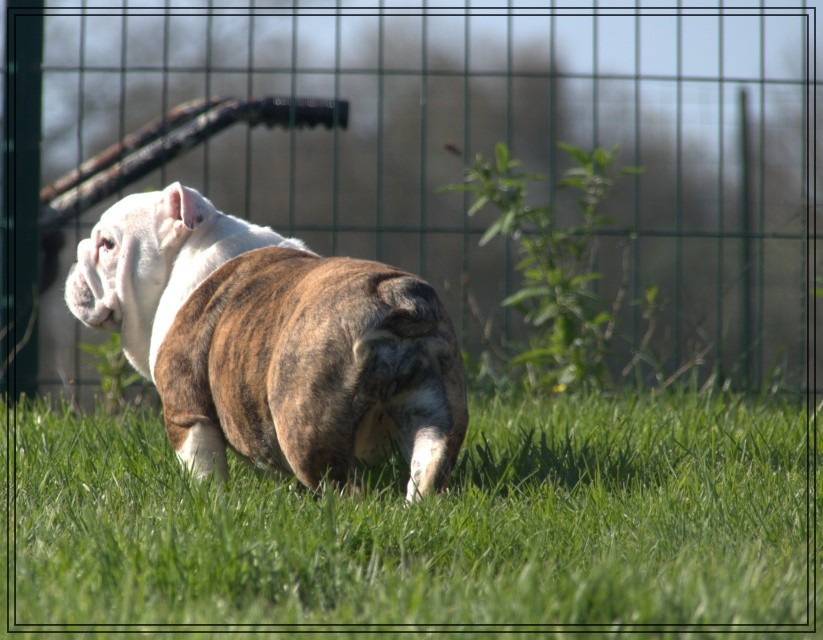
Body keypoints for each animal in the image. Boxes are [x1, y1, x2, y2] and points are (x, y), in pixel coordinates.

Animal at [65, 182, 468, 500]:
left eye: (107, 245)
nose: (77, 255)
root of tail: (393, 295)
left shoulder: (186, 410)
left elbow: (202, 466)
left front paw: (208, 501)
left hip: (305, 424)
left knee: (341, 485)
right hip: (434, 406)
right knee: (430, 462)